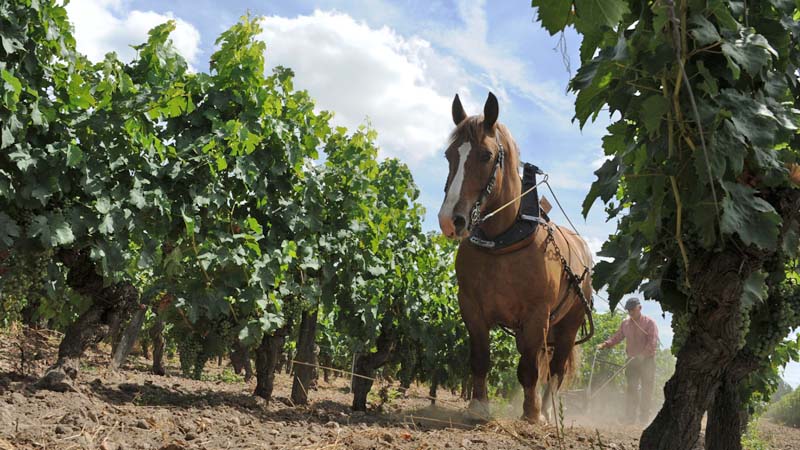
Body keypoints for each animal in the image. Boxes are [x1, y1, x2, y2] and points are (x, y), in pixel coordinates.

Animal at [440, 91, 592, 422]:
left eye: (486, 155)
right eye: (449, 155)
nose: (450, 220)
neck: (501, 242)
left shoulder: (537, 316)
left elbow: (530, 370)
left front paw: (532, 414)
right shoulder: (471, 307)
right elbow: (481, 357)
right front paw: (479, 406)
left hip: (568, 325)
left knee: (555, 370)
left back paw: (547, 412)